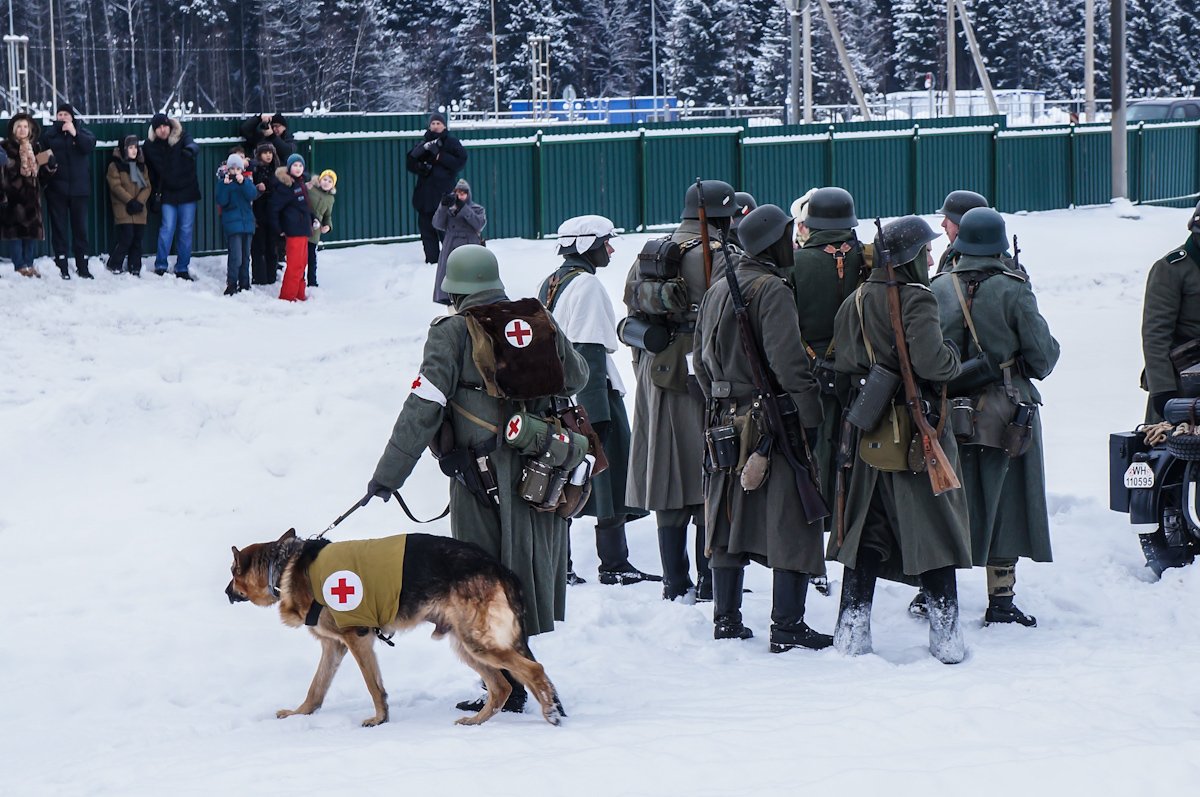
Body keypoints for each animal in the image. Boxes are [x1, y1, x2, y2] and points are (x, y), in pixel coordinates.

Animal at [226, 528, 564, 729]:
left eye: (232, 572)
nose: (226, 592)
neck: (284, 566)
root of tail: (498, 566)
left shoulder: (356, 639)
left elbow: (373, 686)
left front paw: (380, 719)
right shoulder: (333, 646)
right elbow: (316, 687)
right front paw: (300, 714)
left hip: (478, 643)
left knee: (533, 670)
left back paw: (550, 713)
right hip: (465, 645)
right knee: (502, 686)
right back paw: (476, 721)